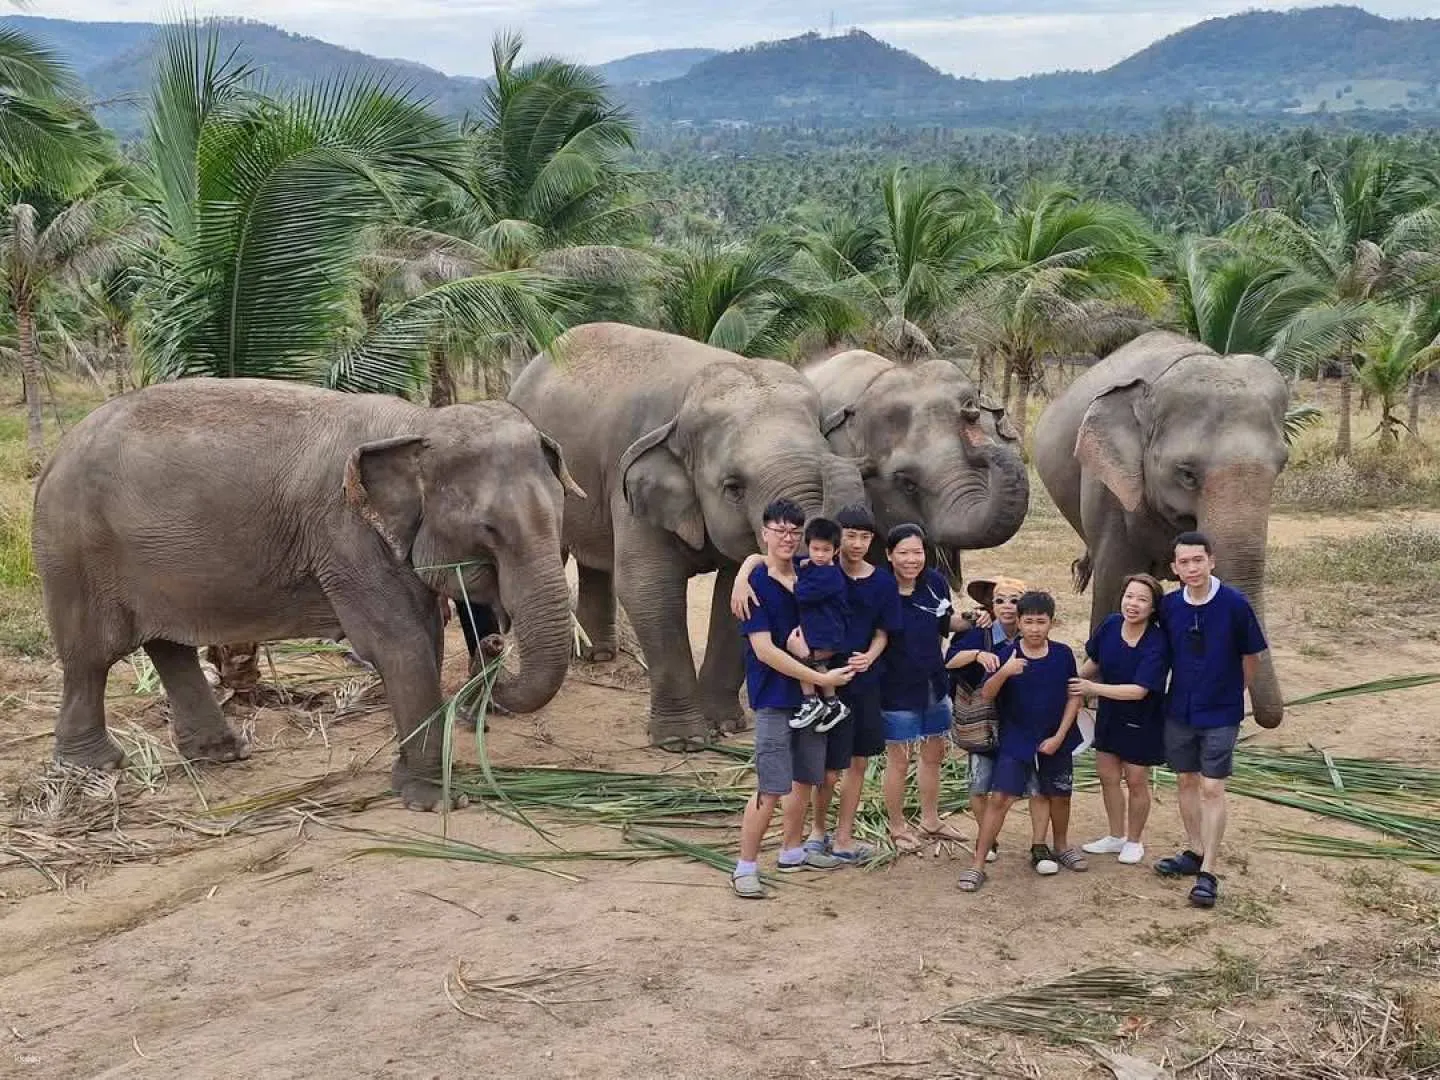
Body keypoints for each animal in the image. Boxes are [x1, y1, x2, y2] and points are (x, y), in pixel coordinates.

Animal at [30, 378, 584, 810]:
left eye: (561, 511)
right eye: (488, 530)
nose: (491, 642)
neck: (419, 423)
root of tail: (54, 455)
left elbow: (425, 637)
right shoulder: (343, 535)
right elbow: (400, 643)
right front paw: (437, 801)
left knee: (166, 644)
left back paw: (221, 753)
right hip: (75, 552)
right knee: (92, 655)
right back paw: (95, 768)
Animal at [507, 322, 869, 749]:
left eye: (826, 466)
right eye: (733, 488)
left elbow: (738, 592)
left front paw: (725, 725)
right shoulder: (629, 483)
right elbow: (648, 586)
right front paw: (683, 742)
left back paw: (599, 656)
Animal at [1031, 329, 1287, 728]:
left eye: (1283, 465)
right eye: (1187, 474)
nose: (1268, 718)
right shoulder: (1108, 489)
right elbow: (1114, 580)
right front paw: (1097, 699)